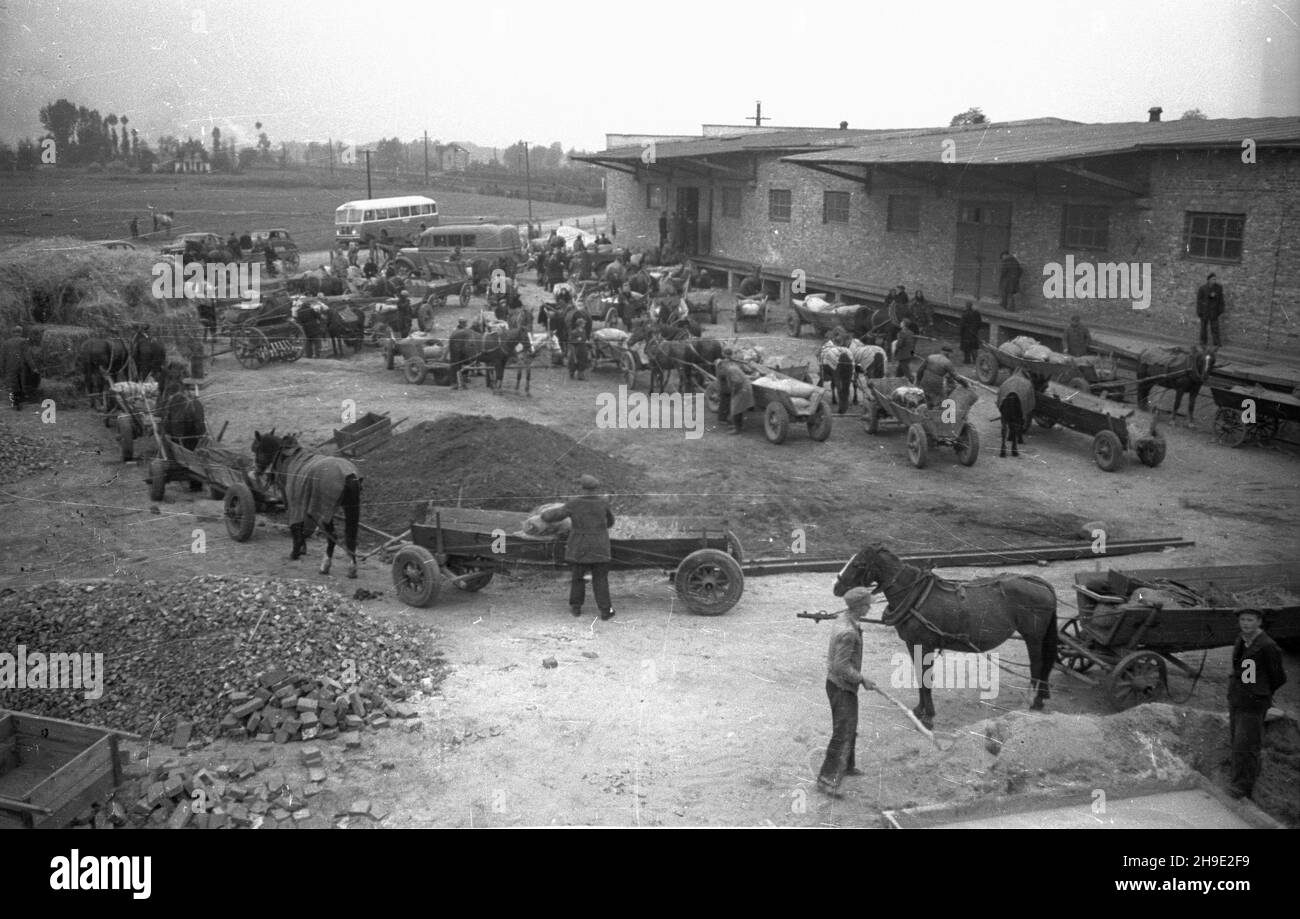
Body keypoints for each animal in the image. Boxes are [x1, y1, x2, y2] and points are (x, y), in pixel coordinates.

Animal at [832, 543, 1055, 727]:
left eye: (859, 564)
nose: (837, 587)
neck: (915, 596)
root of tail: (1040, 583)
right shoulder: (913, 644)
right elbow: (919, 676)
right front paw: (920, 710)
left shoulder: (925, 645)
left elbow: (925, 678)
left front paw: (929, 716)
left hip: (1033, 636)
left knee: (1038, 665)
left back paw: (1034, 701)